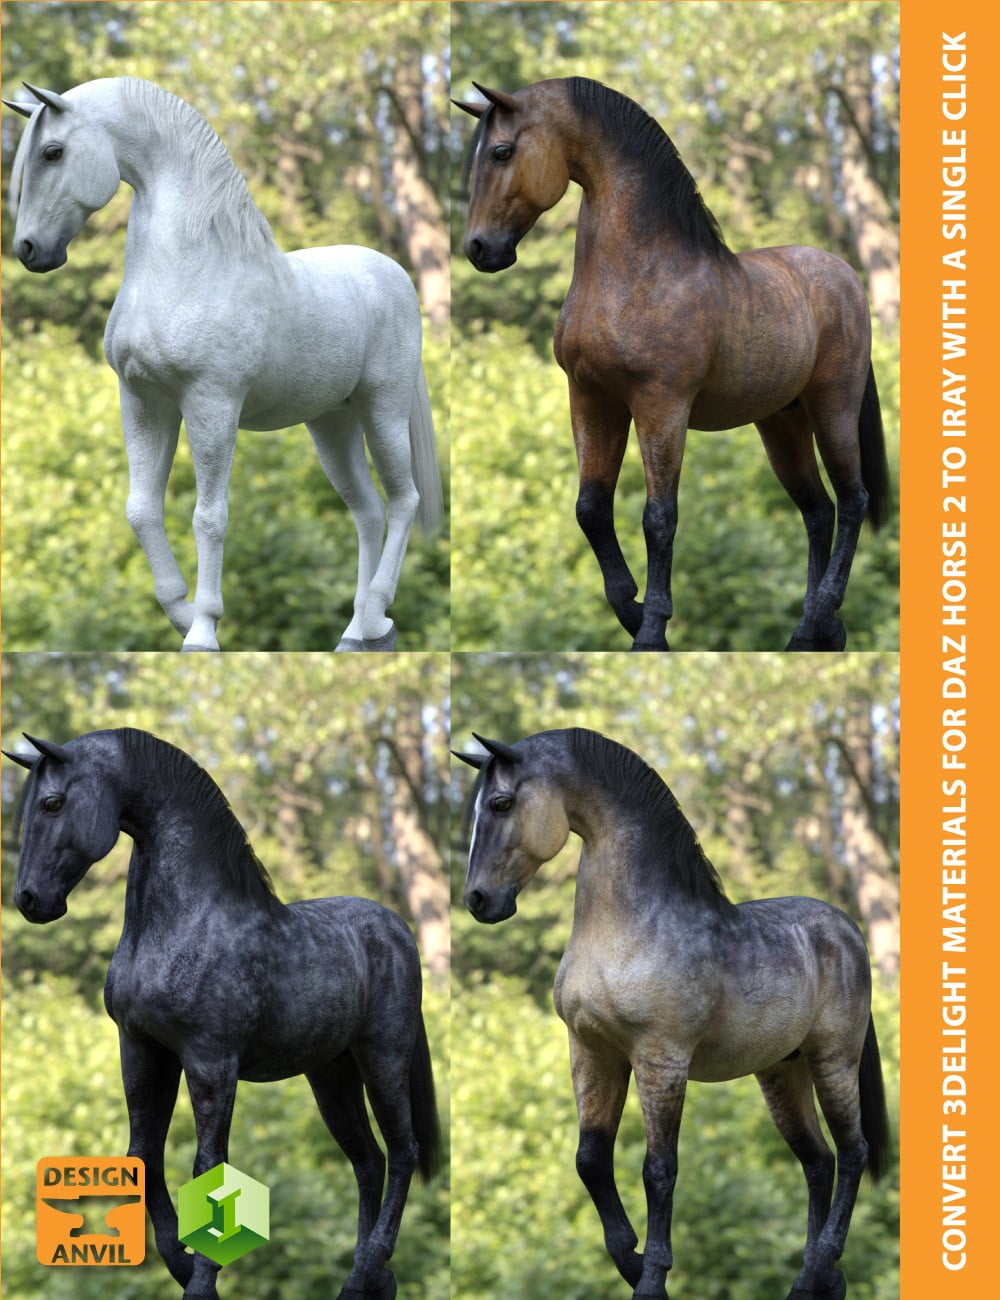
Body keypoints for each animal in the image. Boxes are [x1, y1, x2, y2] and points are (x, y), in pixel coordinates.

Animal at [4, 77, 443, 651]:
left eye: (53, 152)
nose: (29, 250)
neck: (190, 265)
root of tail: (394, 275)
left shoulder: (212, 404)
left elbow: (209, 516)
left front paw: (203, 629)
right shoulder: (143, 402)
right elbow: (141, 510)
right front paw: (181, 612)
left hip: (383, 409)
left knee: (404, 500)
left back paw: (375, 614)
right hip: (332, 422)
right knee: (367, 510)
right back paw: (356, 633)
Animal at [4, 728, 441, 1298]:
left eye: (53, 803)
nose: (30, 900)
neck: (188, 920)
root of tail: (395, 929)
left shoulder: (211, 1061)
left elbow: (208, 1165)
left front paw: (201, 1280)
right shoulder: (142, 1051)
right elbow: (143, 1156)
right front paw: (180, 1262)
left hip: (382, 1057)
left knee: (403, 1149)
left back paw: (374, 1263)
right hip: (331, 1075)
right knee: (369, 1162)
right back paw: (362, 1278)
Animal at [455, 78, 891, 651]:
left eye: (502, 152)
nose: (479, 248)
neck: (642, 270)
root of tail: (845, 278)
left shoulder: (661, 407)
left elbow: (659, 517)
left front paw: (651, 629)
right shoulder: (592, 401)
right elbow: (590, 509)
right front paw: (630, 608)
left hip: (833, 409)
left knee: (853, 499)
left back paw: (824, 614)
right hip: (782, 423)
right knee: (818, 511)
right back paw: (809, 632)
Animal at [455, 728, 890, 1299]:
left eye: (502, 803)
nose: (478, 900)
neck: (629, 927)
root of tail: (846, 929)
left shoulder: (661, 1060)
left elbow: (659, 1169)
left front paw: (652, 1277)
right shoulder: (592, 1053)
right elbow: (590, 1160)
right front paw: (630, 1259)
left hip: (833, 1061)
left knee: (853, 1150)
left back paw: (824, 1262)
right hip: (781, 1072)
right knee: (818, 1162)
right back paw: (812, 1279)